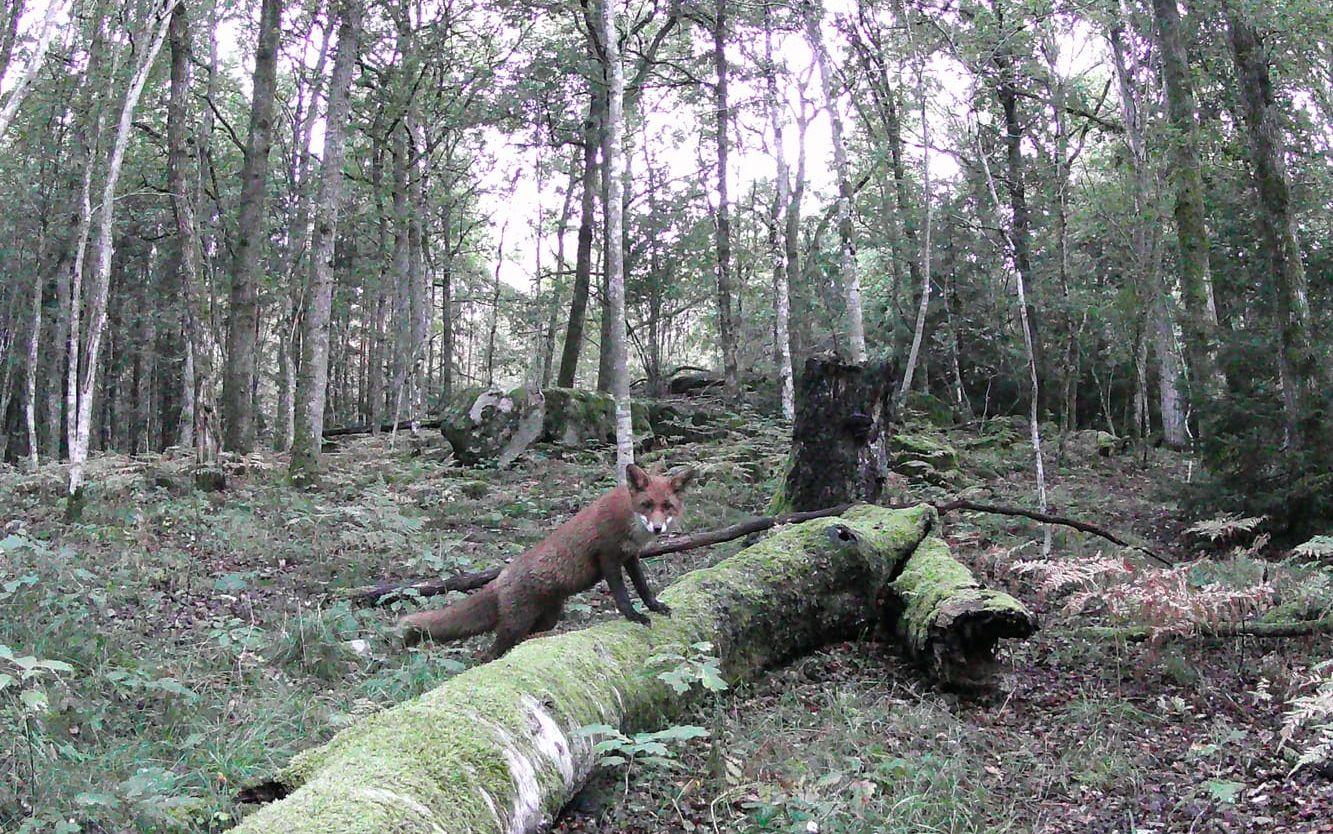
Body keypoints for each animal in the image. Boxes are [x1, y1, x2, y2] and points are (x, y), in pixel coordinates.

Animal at [399, 460, 698, 655]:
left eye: (667, 506)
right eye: (647, 505)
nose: (657, 528)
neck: (629, 523)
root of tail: (500, 578)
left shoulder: (630, 556)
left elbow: (643, 587)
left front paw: (654, 606)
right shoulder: (608, 558)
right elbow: (623, 596)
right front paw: (634, 616)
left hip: (546, 619)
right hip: (514, 626)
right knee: (487, 655)